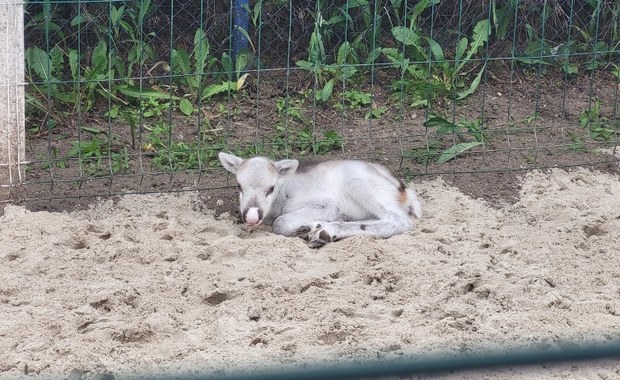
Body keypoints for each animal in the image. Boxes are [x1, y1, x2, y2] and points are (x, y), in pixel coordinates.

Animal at [219, 153, 422, 248]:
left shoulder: (329, 204)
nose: (252, 216)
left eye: (271, 188)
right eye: (239, 186)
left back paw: (325, 231)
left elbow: (281, 223)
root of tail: (404, 190)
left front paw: (300, 230)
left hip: (356, 182)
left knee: (400, 220)